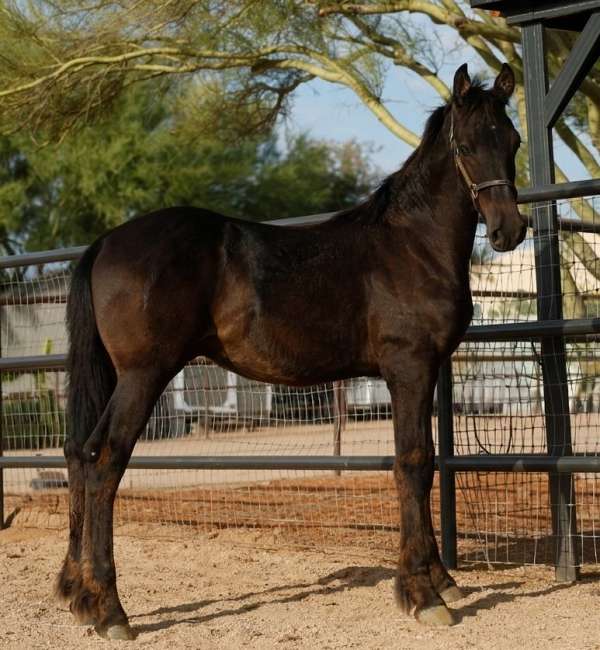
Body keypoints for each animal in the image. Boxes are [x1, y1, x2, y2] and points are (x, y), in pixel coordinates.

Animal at [56, 63, 525, 639]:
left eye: (512, 140)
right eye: (466, 144)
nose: (509, 230)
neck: (411, 244)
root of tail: (105, 242)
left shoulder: (430, 370)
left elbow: (430, 461)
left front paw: (441, 580)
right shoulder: (408, 368)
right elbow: (412, 463)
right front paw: (421, 595)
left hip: (117, 377)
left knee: (79, 454)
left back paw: (78, 594)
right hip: (143, 376)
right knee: (105, 462)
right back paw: (110, 609)